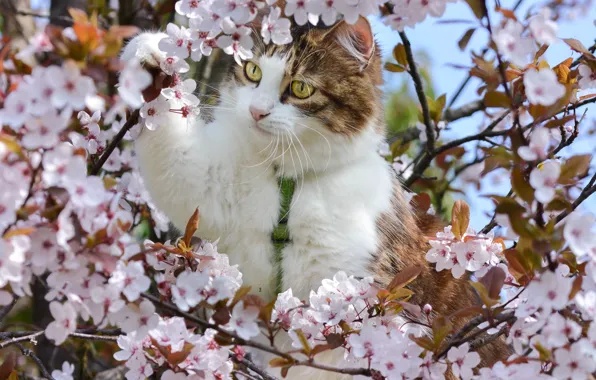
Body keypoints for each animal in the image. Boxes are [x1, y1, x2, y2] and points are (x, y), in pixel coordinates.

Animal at [121, 16, 508, 378]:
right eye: (252, 70)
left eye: (300, 88)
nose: (256, 111)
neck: (288, 184)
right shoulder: (205, 181)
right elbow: (175, 165)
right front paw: (150, 54)